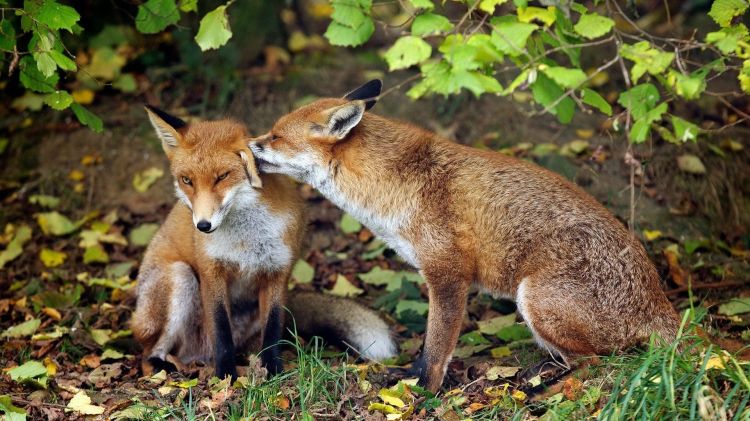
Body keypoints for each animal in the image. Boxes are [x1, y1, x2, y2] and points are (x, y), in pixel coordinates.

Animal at [129, 104, 400, 378]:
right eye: (187, 180)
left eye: (222, 177)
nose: (203, 226)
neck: (247, 241)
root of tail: (197, 356)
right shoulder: (212, 271)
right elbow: (221, 331)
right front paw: (225, 374)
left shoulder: (278, 270)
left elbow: (272, 328)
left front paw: (272, 369)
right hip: (179, 276)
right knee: (149, 352)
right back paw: (162, 367)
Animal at [250, 79, 684, 390]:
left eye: (275, 137)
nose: (249, 144)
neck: (399, 185)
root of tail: (660, 303)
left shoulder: (448, 274)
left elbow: (437, 346)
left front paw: (422, 391)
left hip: (534, 299)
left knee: (600, 363)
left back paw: (542, 386)